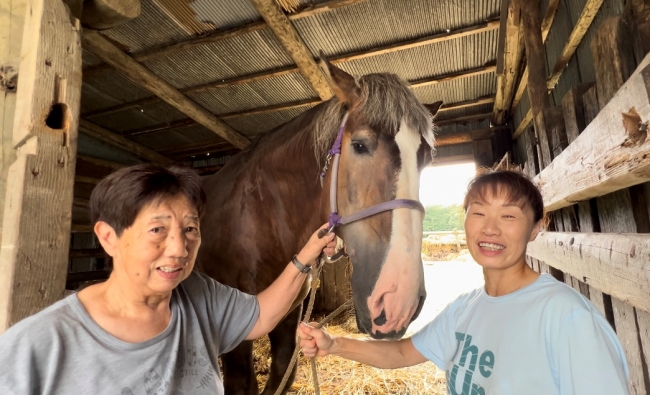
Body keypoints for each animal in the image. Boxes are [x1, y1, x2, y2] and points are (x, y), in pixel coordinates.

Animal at [197, 58, 440, 395]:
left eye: (427, 158)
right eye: (360, 145)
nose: (398, 301)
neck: (258, 215)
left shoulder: (287, 314)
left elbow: (282, 374)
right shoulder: (233, 331)